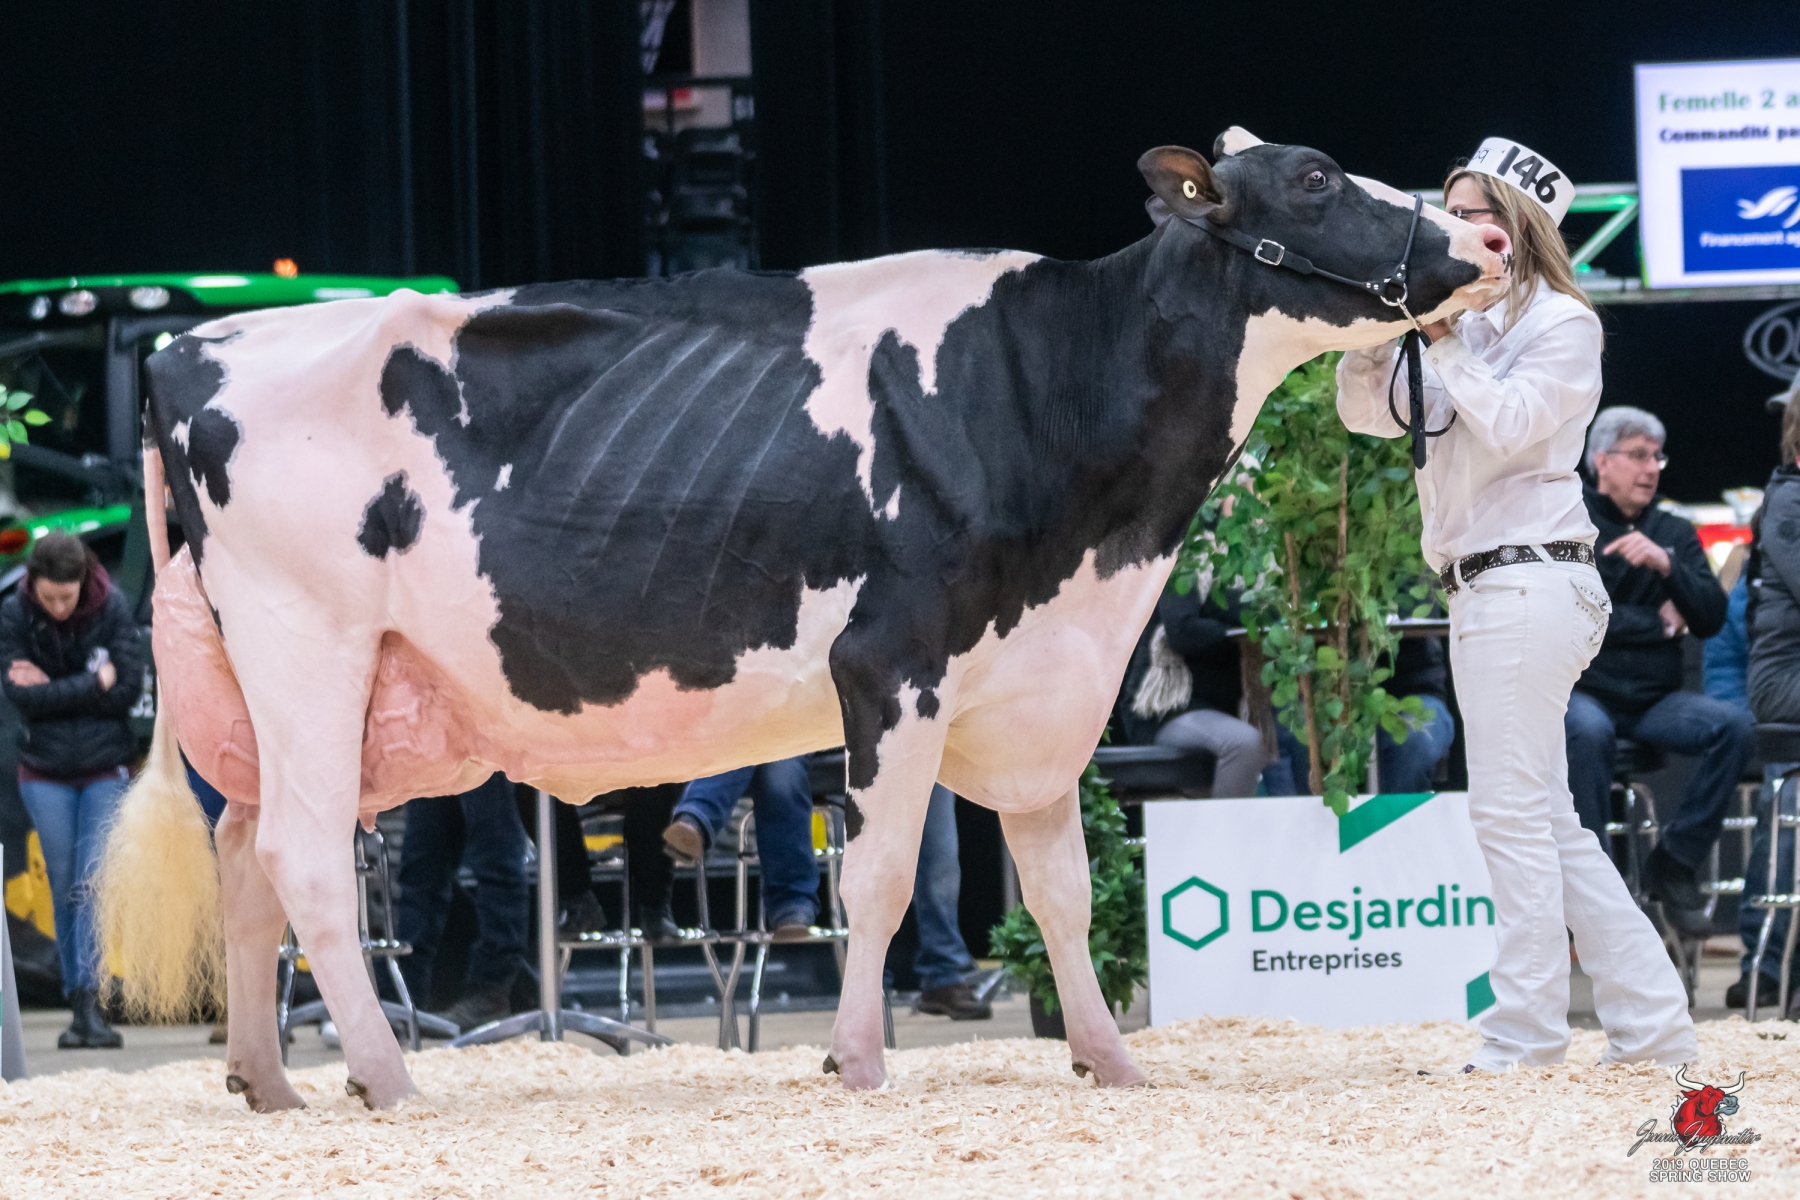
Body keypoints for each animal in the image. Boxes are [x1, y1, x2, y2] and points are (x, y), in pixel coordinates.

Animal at [96, 128, 1507, 1112]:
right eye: (1315, 178)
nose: (1486, 249)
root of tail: (194, 347)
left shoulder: (1043, 682)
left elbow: (1060, 890)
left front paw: (1111, 1062)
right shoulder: (893, 665)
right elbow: (876, 881)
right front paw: (859, 1063)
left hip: (307, 688)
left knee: (245, 853)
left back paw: (269, 1083)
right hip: (307, 647)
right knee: (306, 862)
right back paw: (390, 1083)